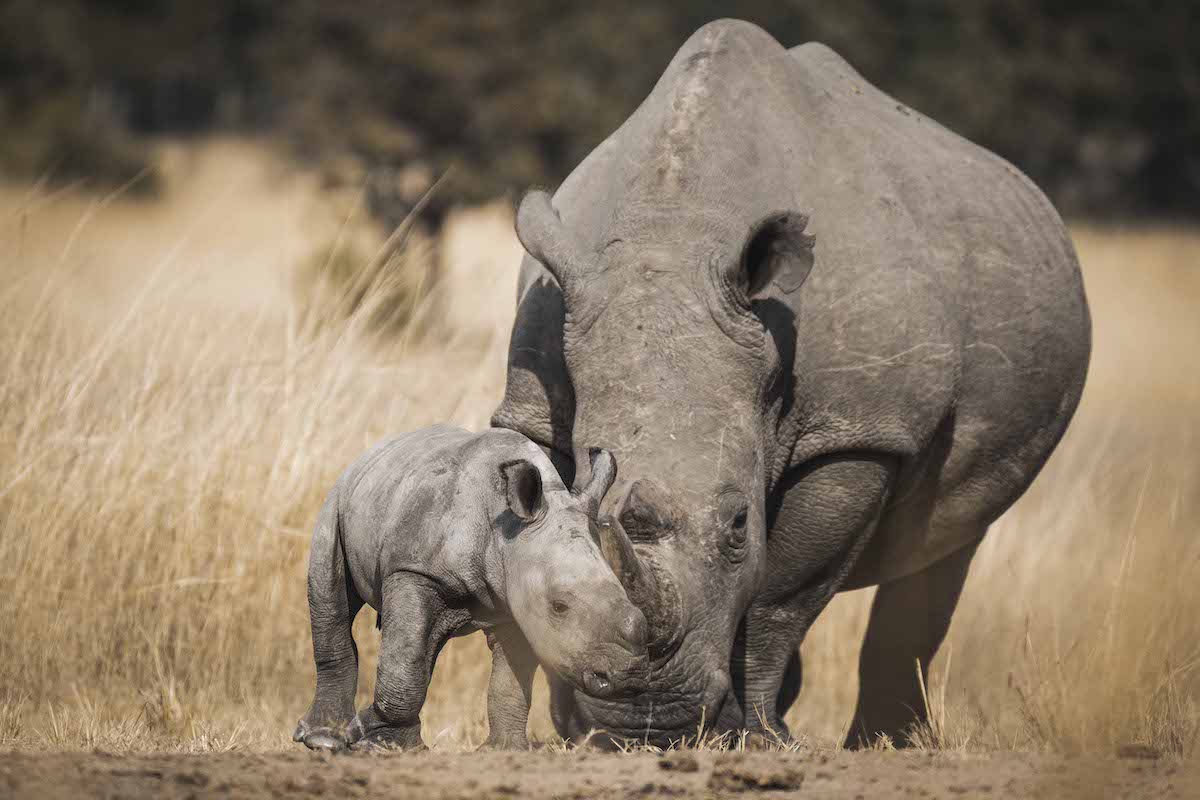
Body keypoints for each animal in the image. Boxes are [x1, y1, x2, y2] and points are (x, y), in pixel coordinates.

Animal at [292, 424, 648, 753]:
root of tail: (369, 453)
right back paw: (323, 740)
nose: (625, 675)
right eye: (559, 606)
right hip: (338, 500)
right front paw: (380, 745)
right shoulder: (413, 571)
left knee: (424, 643)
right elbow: (404, 662)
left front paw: (504, 751)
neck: (507, 531)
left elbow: (510, 678)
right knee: (334, 597)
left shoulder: (515, 599)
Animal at [492, 17, 1094, 753]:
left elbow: (782, 588)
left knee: (946, 543)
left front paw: (762, 737)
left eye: (738, 525)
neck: (674, 232)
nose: (648, 719)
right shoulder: (534, 401)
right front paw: (580, 726)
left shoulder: (859, 431)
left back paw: (880, 743)